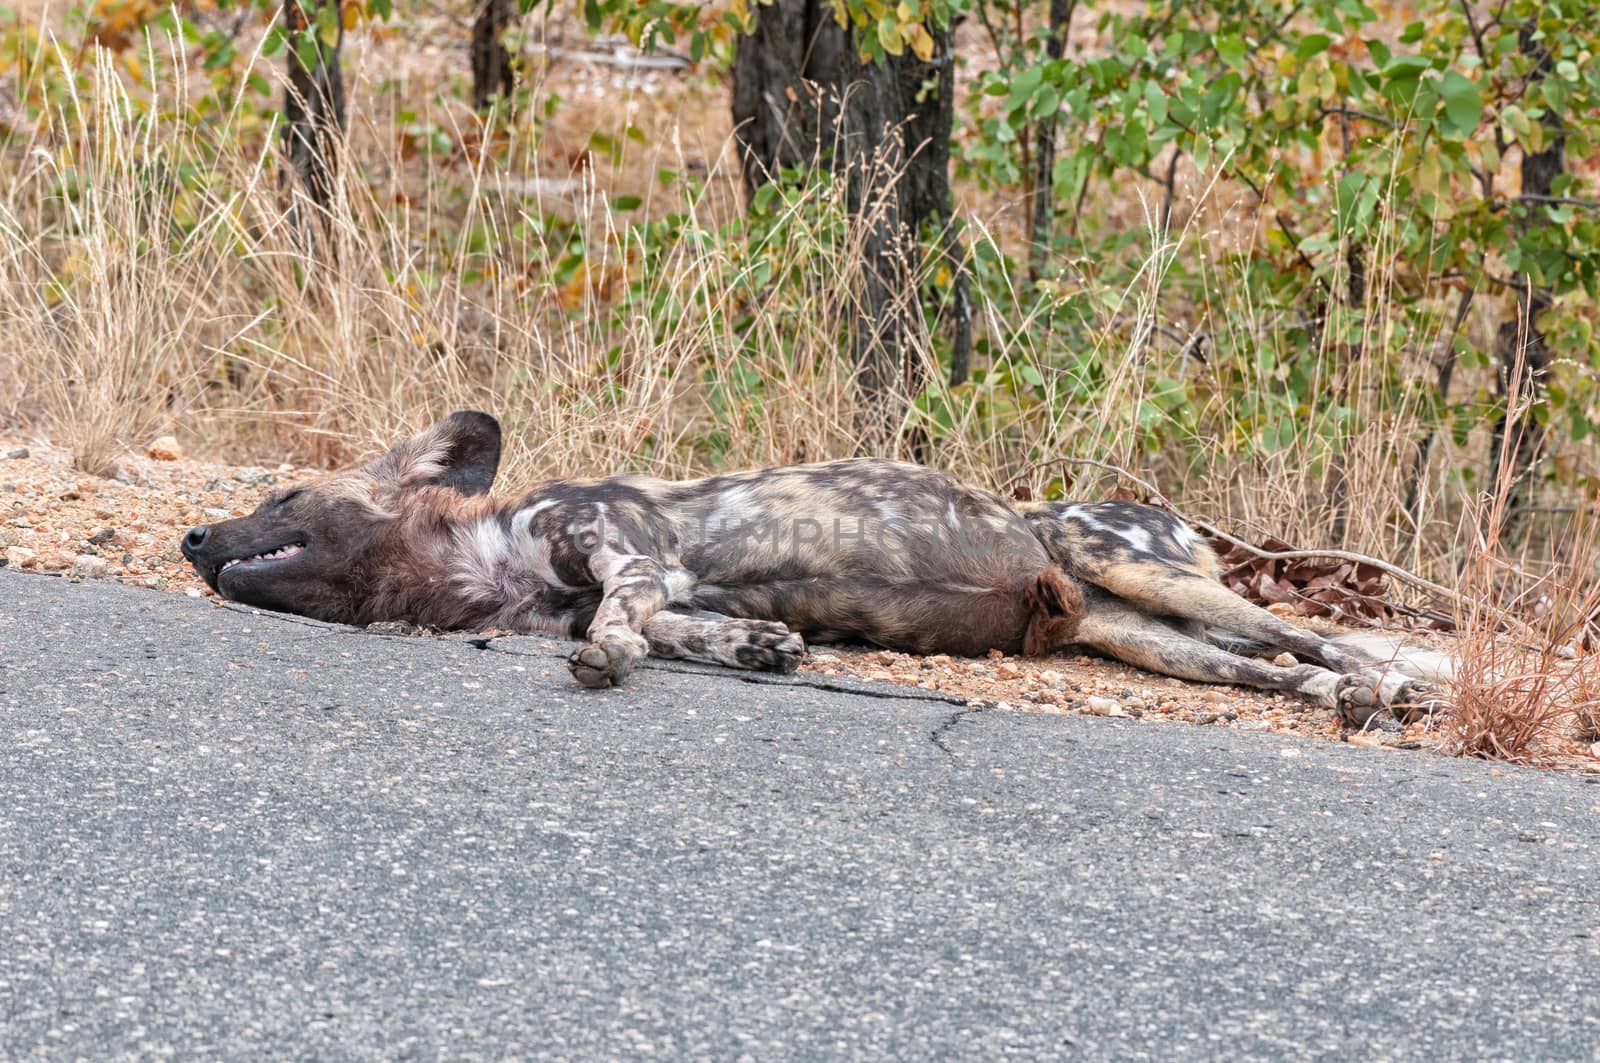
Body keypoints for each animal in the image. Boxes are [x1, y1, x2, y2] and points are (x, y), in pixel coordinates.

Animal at [181, 409, 1446, 726]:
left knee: (1319, 631)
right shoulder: (655, 586)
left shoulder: (624, 550)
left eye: (281, 500)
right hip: (1135, 635)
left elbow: (619, 626)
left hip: (1137, 566)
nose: (192, 539)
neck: (494, 561)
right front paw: (759, 647)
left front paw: (607, 664)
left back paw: (1389, 685)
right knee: (1270, 668)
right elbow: (683, 631)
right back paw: (1346, 699)